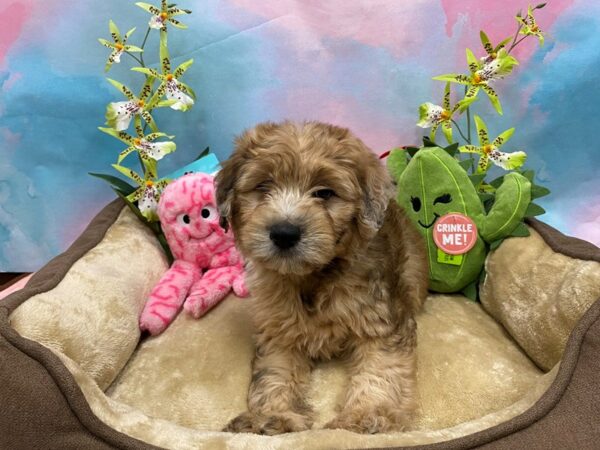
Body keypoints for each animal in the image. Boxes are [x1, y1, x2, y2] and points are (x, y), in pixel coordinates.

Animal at [218, 121, 428, 434]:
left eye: (324, 193)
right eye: (263, 186)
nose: (284, 233)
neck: (314, 276)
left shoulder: (382, 321)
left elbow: (381, 368)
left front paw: (368, 415)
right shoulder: (278, 329)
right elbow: (274, 372)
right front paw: (272, 415)